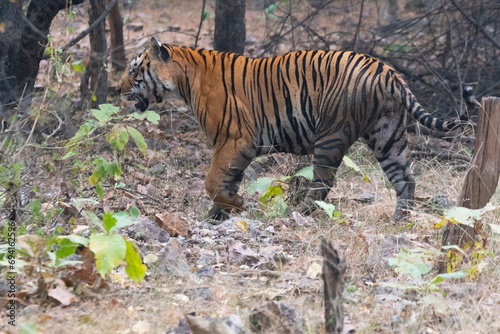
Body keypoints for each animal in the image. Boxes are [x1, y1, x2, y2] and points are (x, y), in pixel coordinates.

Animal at [117, 37, 472, 220]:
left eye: (134, 69)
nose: (116, 88)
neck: (184, 80)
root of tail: (388, 71)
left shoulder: (234, 140)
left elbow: (213, 180)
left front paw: (235, 206)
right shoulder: (235, 147)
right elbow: (226, 181)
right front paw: (221, 213)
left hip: (331, 135)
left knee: (324, 182)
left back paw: (300, 211)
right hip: (387, 136)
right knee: (405, 178)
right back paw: (399, 220)